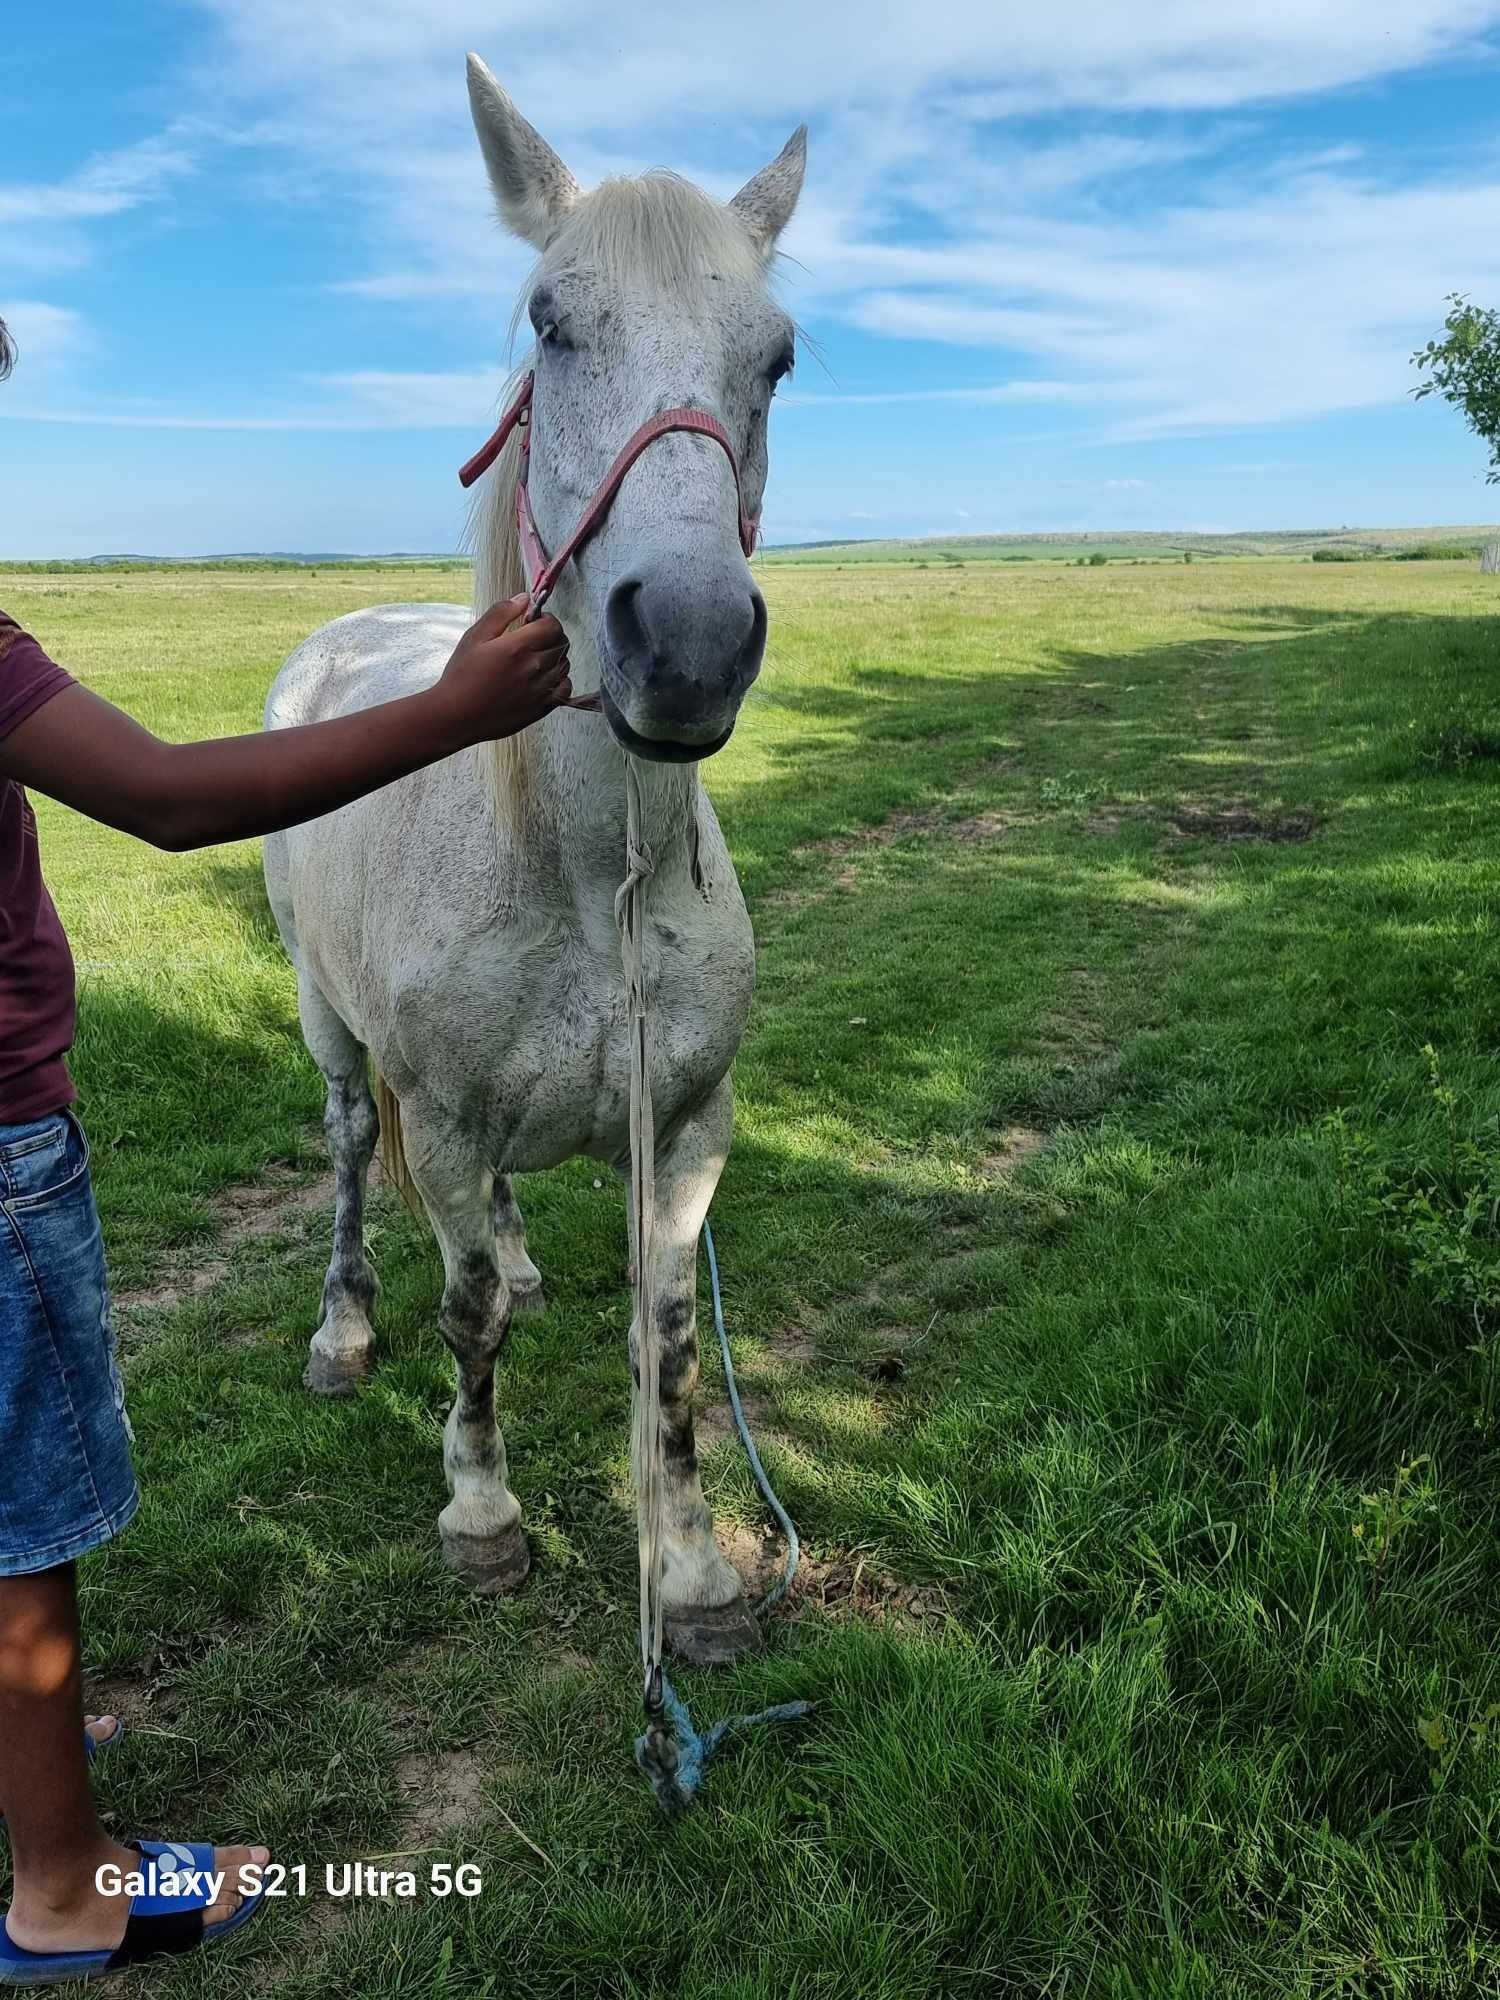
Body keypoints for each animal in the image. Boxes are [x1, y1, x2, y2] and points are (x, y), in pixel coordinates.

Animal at [264, 54, 804, 1664]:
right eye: (555, 325)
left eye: (778, 357)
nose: (687, 640)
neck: (582, 884)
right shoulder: (440, 1122)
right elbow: (465, 1327)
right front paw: (483, 1514)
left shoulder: (685, 1127)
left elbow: (667, 1337)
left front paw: (689, 1570)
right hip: (328, 1030)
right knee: (348, 1153)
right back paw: (341, 1327)